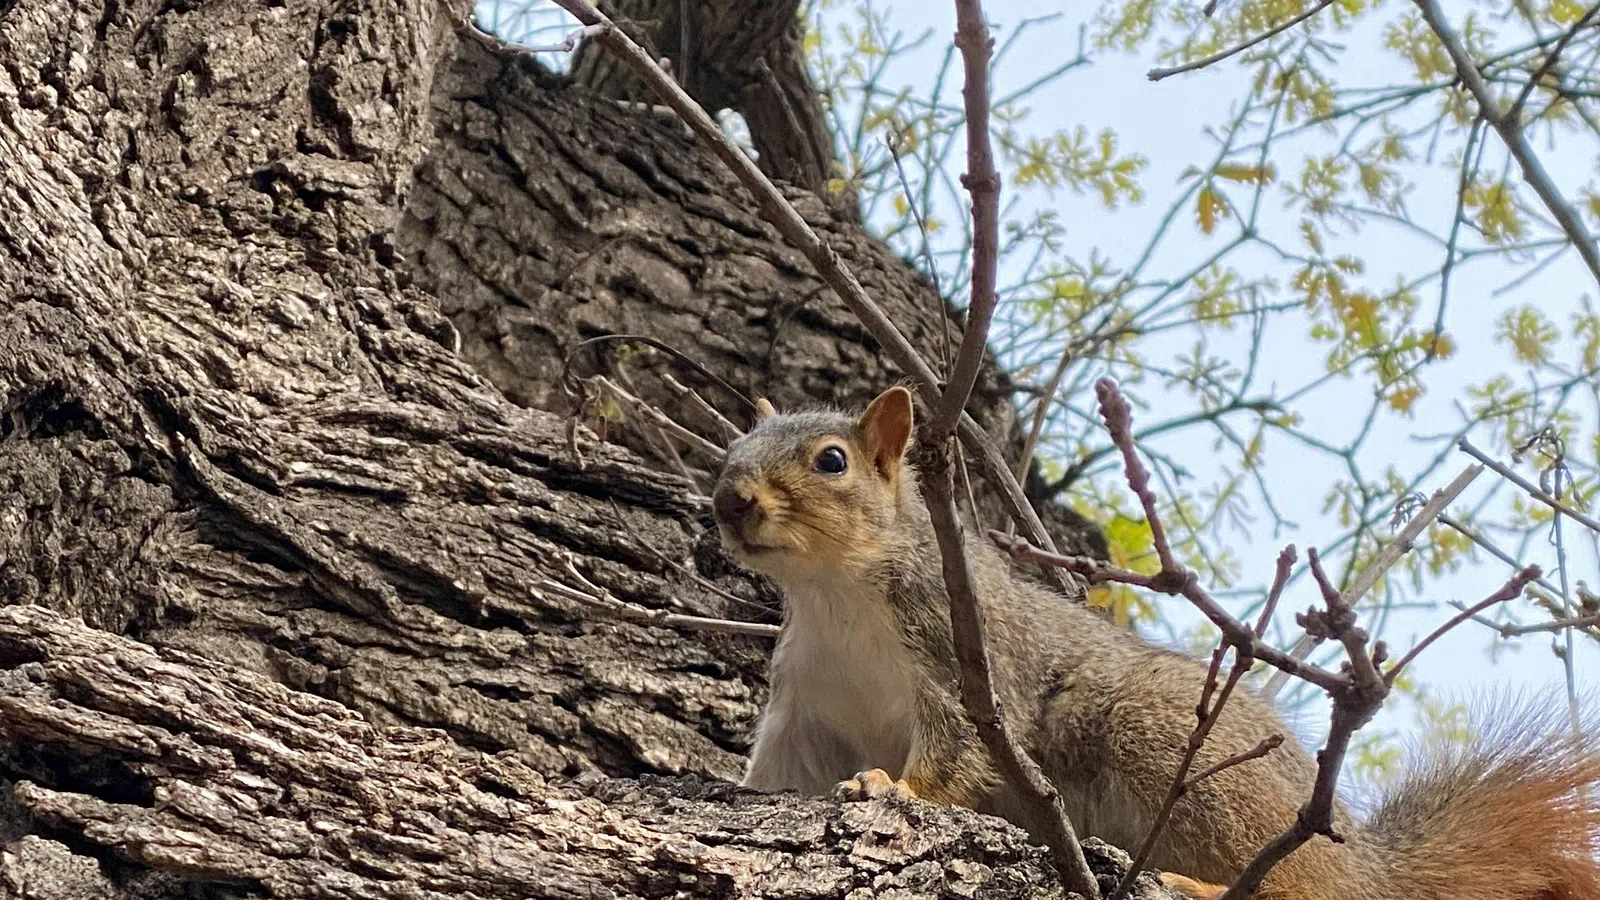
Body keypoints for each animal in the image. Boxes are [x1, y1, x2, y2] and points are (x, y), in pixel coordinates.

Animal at [711, 384, 1600, 900]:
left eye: (832, 462)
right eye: (730, 453)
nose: (730, 500)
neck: (834, 595)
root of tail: (1363, 861)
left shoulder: (967, 663)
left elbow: (957, 753)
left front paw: (892, 788)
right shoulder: (805, 701)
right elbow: (778, 769)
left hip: (1166, 741)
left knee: (1307, 888)